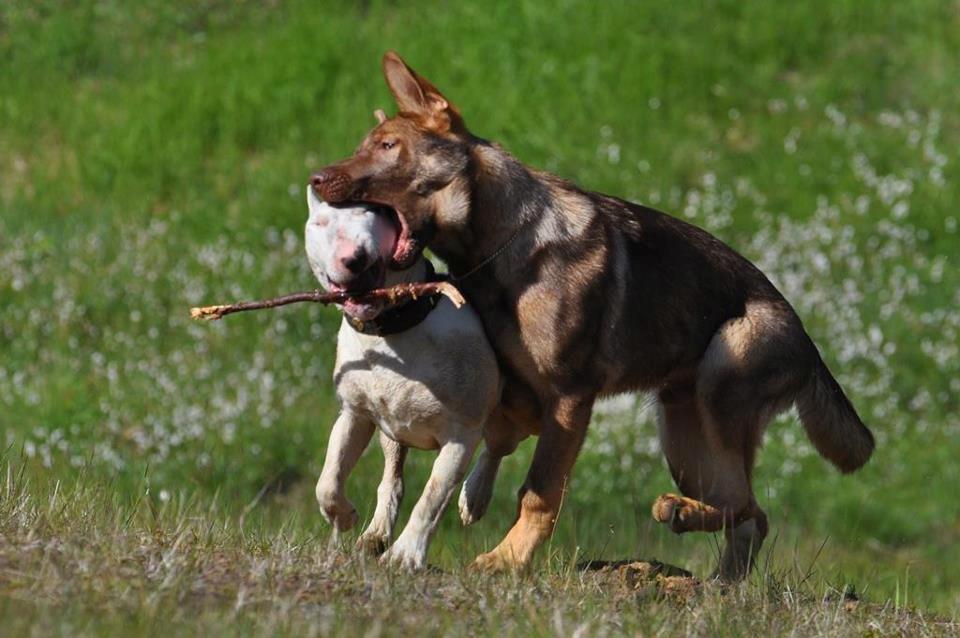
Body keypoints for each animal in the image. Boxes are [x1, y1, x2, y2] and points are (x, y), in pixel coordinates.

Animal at [308, 186, 516, 568]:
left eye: (373, 212)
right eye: (321, 222)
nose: (353, 257)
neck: (393, 328)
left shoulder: (461, 434)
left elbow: (433, 497)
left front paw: (405, 555)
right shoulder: (355, 413)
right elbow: (329, 478)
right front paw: (344, 517)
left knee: (497, 447)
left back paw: (474, 498)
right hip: (392, 430)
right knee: (393, 475)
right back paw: (374, 535)